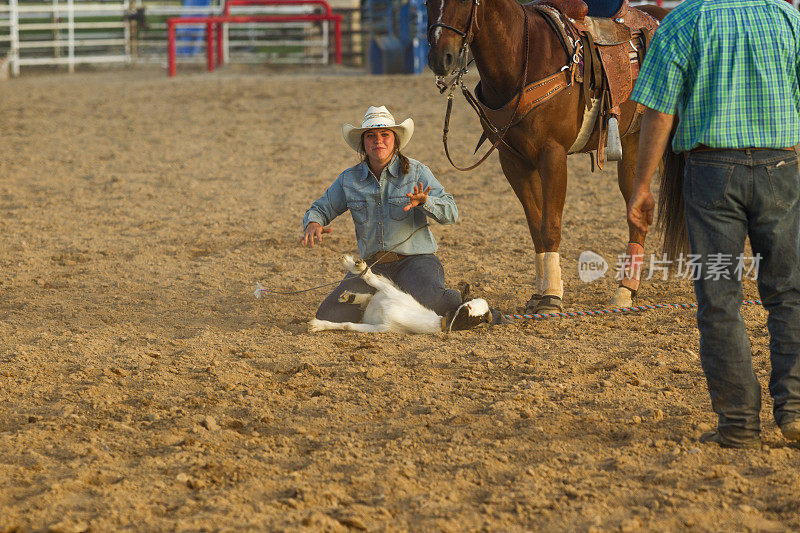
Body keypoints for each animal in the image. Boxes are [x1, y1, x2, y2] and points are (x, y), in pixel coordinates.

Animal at [424, 0, 668, 312]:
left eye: (467, 2)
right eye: (427, 3)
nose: (440, 58)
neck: (520, 58)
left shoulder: (553, 155)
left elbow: (550, 226)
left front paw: (552, 297)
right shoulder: (513, 161)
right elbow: (535, 227)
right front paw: (540, 294)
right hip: (634, 143)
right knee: (637, 210)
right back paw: (626, 290)